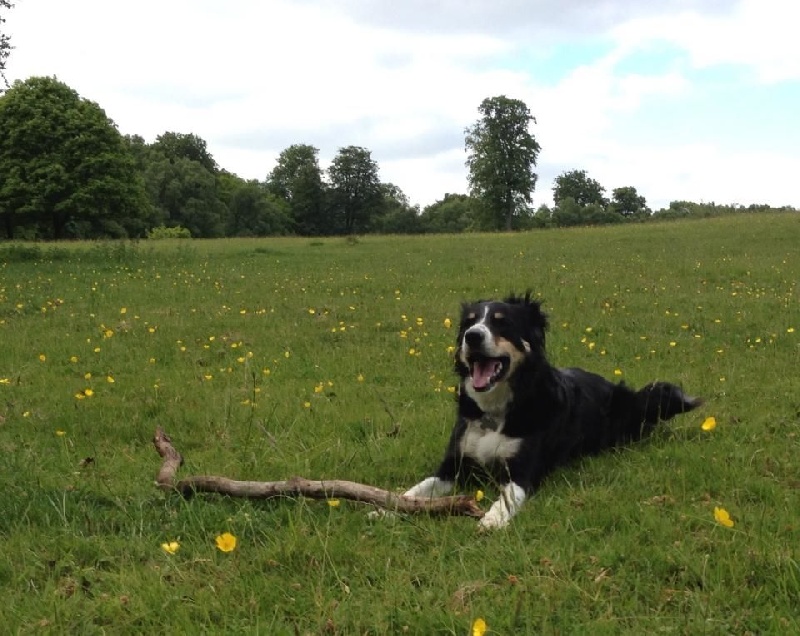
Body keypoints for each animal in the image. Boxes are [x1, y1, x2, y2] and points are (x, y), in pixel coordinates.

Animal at [404, 290, 704, 528]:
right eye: (469, 322)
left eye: (502, 323)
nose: (472, 336)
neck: (495, 411)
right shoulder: (452, 464)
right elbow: (421, 488)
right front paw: (397, 505)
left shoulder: (522, 471)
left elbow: (507, 497)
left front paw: (493, 519)